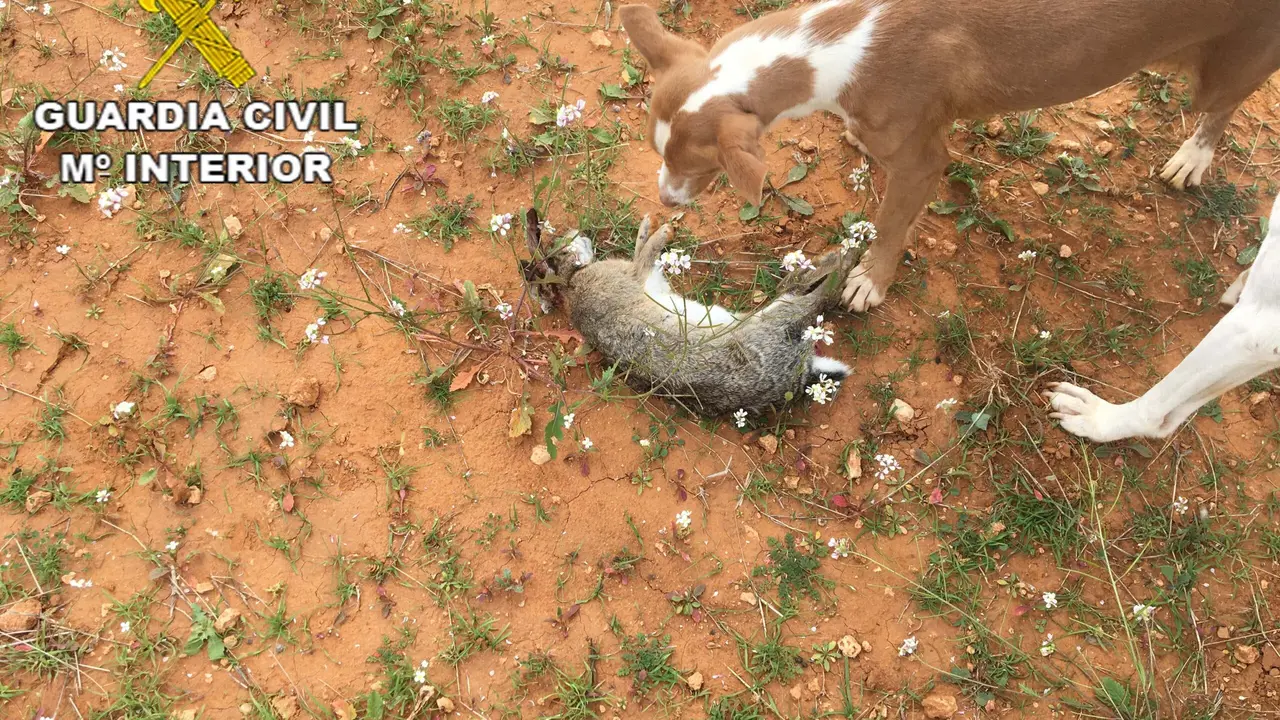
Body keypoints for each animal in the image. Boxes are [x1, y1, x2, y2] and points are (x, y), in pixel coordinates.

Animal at [619, 0, 1280, 311]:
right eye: (657, 152)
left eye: (700, 168)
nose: (664, 199)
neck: (843, 37)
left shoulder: (922, 163)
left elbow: (890, 226)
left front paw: (869, 282)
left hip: (1226, 71)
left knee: (1223, 107)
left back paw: (1194, 157)